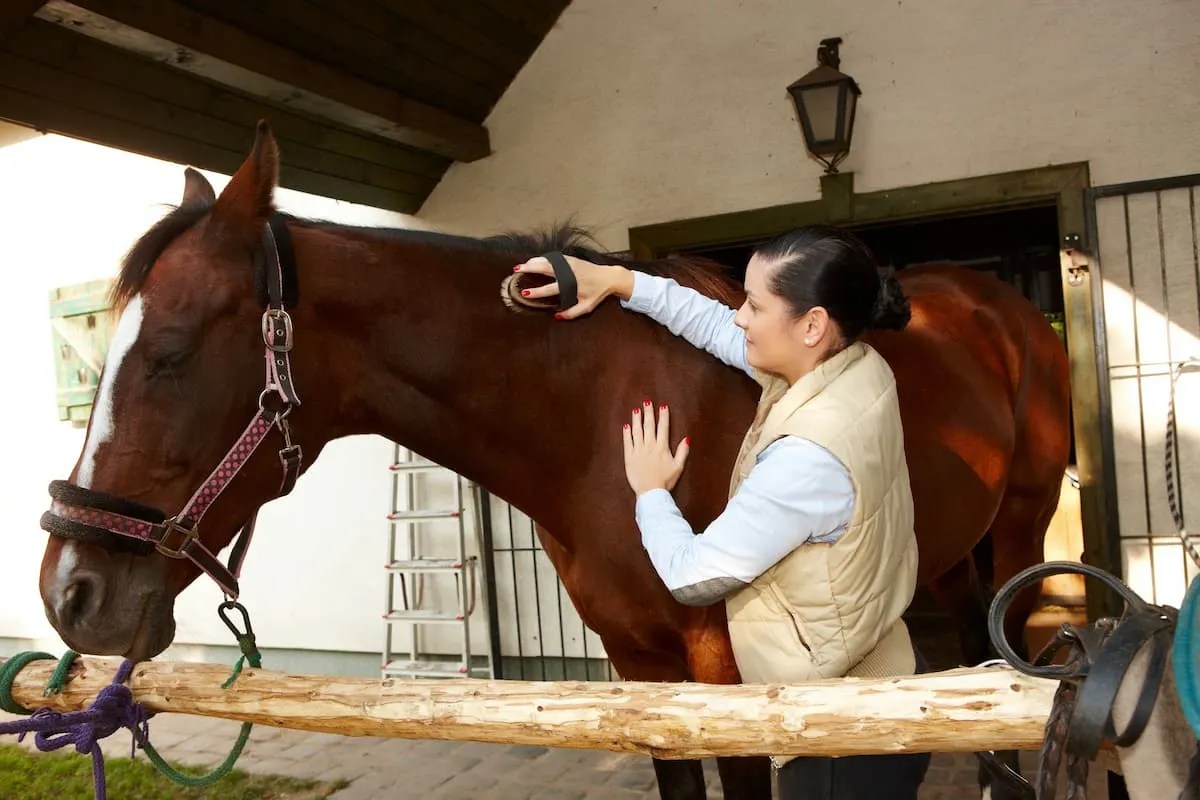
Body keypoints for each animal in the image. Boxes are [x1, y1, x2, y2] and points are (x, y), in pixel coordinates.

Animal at [36, 123, 1071, 800]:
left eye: (171, 352)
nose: (70, 592)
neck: (593, 414)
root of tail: (998, 307)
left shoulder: (731, 684)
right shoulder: (643, 674)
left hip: (1018, 533)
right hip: (947, 556)